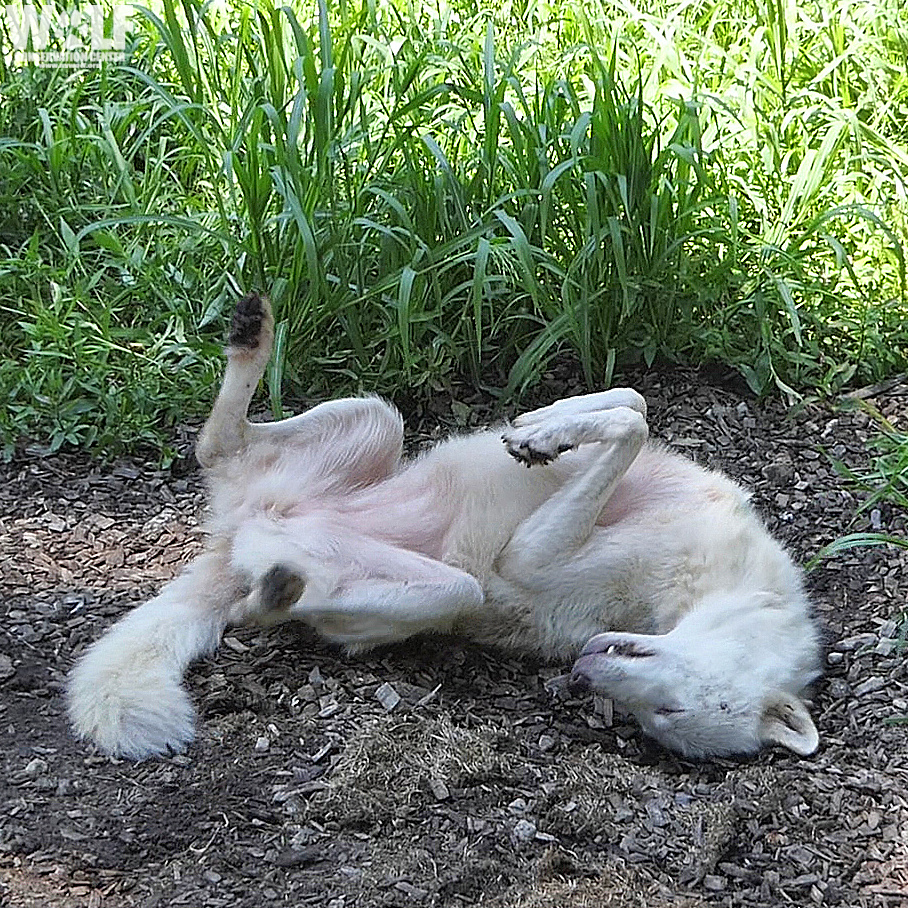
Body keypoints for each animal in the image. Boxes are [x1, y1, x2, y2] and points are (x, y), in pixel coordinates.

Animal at [67, 292, 821, 761]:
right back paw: (253, 332)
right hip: (378, 418)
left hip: (434, 591)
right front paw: (542, 427)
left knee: (284, 599)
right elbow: (632, 404)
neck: (722, 569)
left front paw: (549, 433)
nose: (581, 678)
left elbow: (629, 425)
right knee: (217, 445)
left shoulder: (527, 561)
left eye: (663, 717)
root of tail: (232, 546)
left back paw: (277, 590)